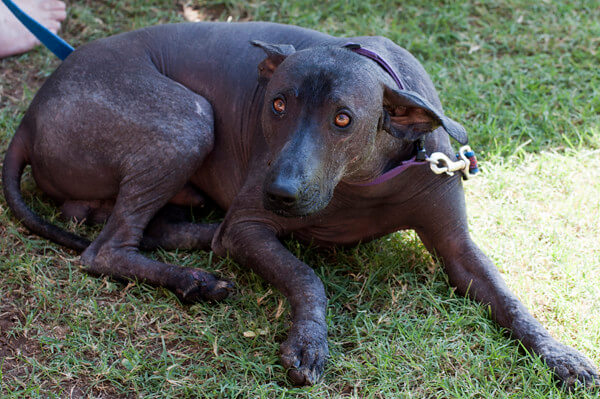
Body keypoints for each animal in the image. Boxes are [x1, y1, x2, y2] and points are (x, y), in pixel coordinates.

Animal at [2, 21, 596, 388]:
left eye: (343, 119)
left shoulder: (457, 246)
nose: (280, 193)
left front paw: (562, 355)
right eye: (278, 104)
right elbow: (304, 275)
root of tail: (29, 118)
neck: (364, 181)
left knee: (146, 230)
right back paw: (193, 278)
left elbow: (509, 299)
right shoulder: (249, 226)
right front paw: (308, 342)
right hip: (186, 119)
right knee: (106, 249)